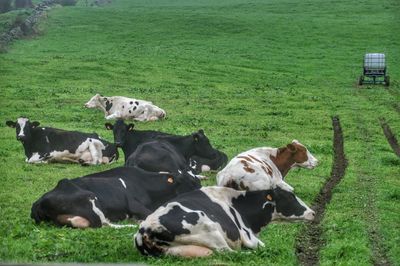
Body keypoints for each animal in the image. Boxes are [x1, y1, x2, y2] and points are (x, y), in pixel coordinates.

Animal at [30, 167, 203, 228]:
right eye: (191, 182)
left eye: (197, 179)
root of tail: (39, 202)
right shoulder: (134, 204)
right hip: (91, 198)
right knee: (103, 224)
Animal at [135, 184, 316, 256]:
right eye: (289, 197)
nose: (313, 213)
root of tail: (145, 229)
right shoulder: (249, 237)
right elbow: (262, 246)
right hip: (208, 227)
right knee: (229, 253)